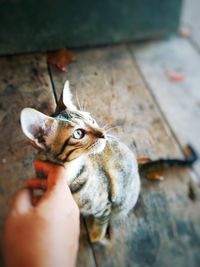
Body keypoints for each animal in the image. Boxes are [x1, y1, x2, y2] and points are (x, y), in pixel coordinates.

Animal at [19, 80, 140, 242]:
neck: (71, 171)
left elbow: (102, 218)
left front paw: (96, 235)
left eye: (91, 119)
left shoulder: (104, 203)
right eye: (78, 133)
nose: (103, 134)